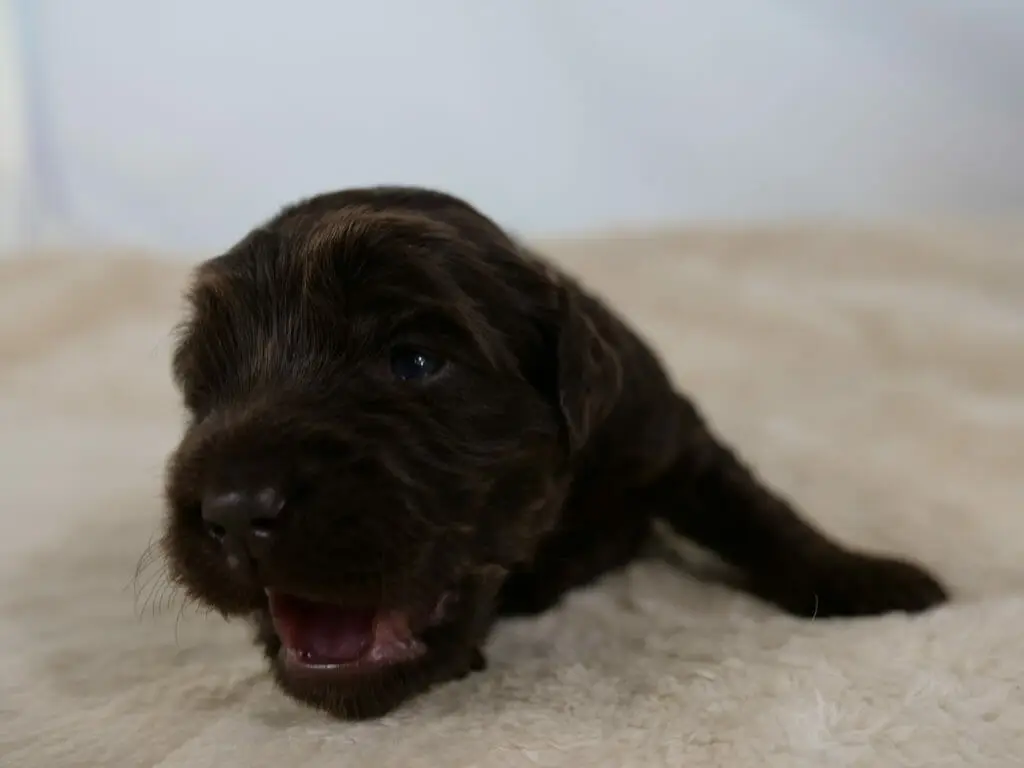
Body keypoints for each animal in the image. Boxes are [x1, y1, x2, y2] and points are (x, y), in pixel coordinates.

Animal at [161, 186, 950, 720]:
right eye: (204, 388)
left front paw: (868, 579)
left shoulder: (667, 434)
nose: (234, 511)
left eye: (414, 361)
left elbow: (757, 512)